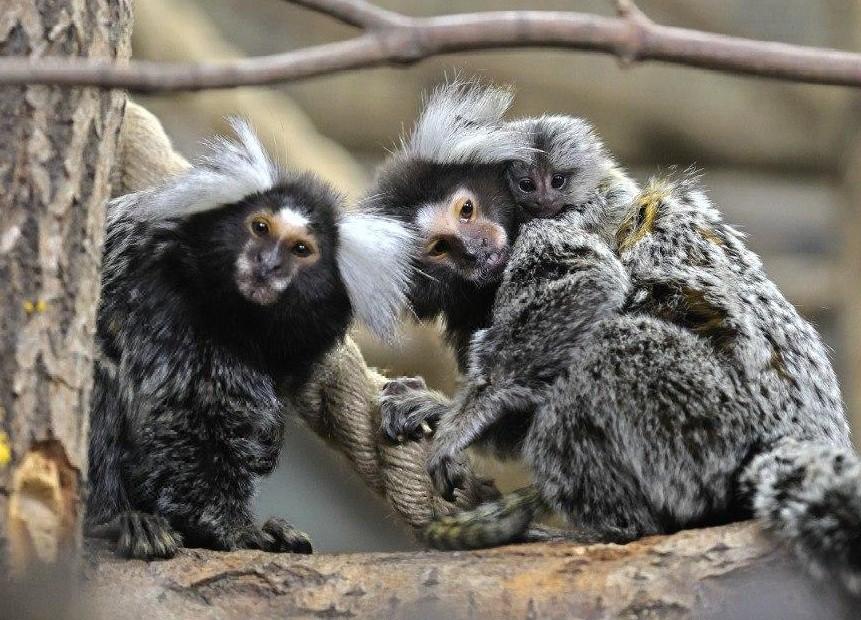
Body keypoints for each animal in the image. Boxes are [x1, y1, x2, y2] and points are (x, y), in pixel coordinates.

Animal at [86, 120, 415, 560]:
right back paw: (115, 519)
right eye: (260, 227)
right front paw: (238, 529)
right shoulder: (165, 313)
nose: (267, 264)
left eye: (301, 249)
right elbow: (184, 427)